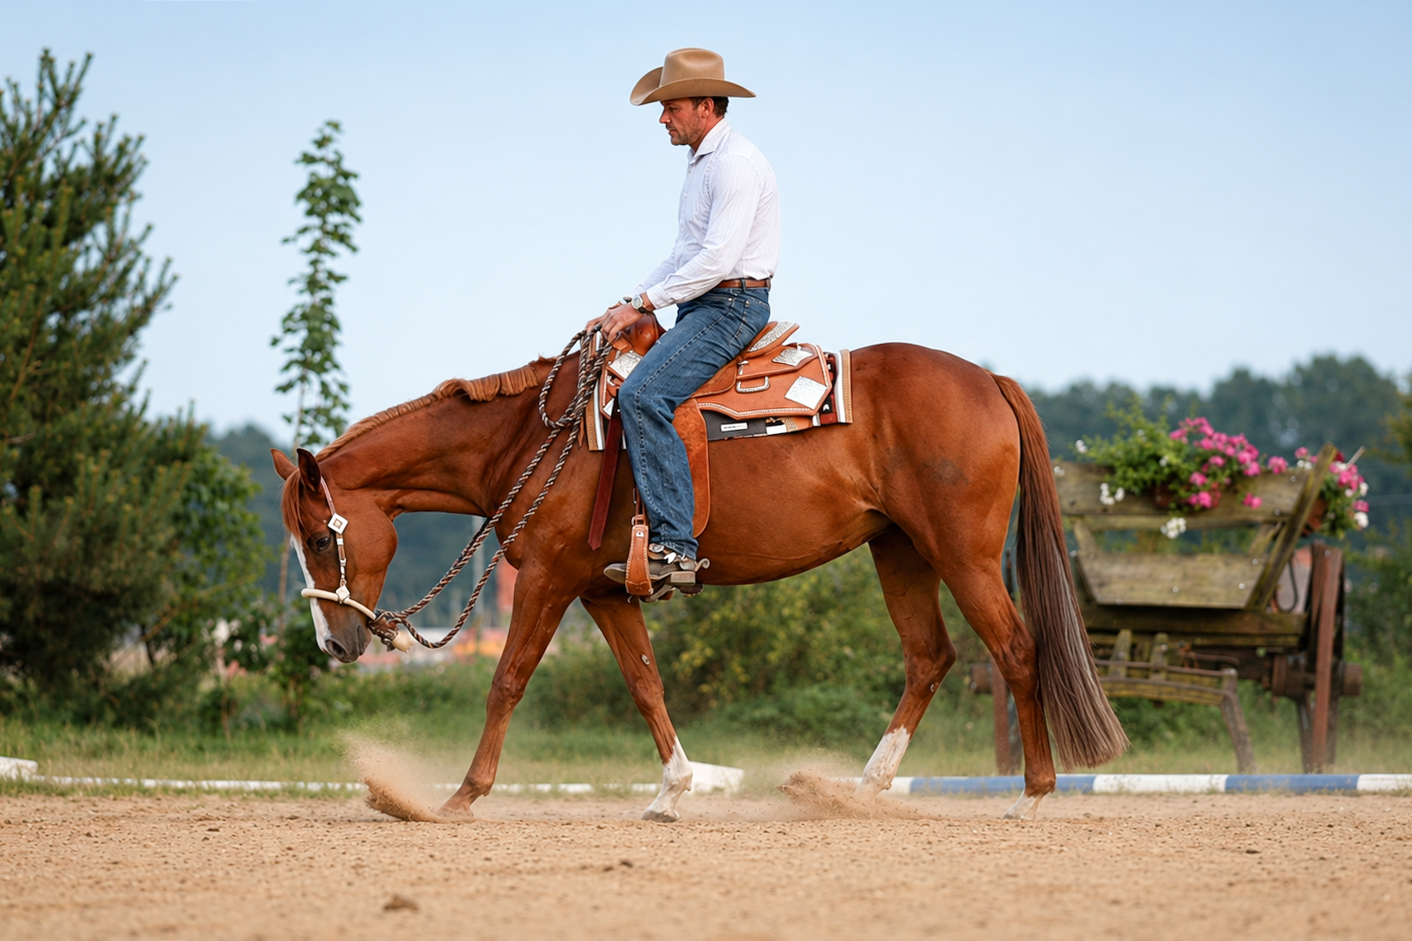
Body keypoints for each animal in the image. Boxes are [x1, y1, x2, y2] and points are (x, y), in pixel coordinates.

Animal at [272, 341, 1128, 821]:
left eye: (318, 536)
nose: (335, 643)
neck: (532, 440)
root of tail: (988, 379)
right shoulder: (603, 590)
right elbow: (646, 683)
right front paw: (670, 791)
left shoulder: (549, 580)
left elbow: (507, 680)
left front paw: (458, 797)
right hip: (901, 551)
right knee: (930, 657)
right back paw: (858, 790)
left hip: (962, 555)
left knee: (1016, 650)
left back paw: (1031, 793)